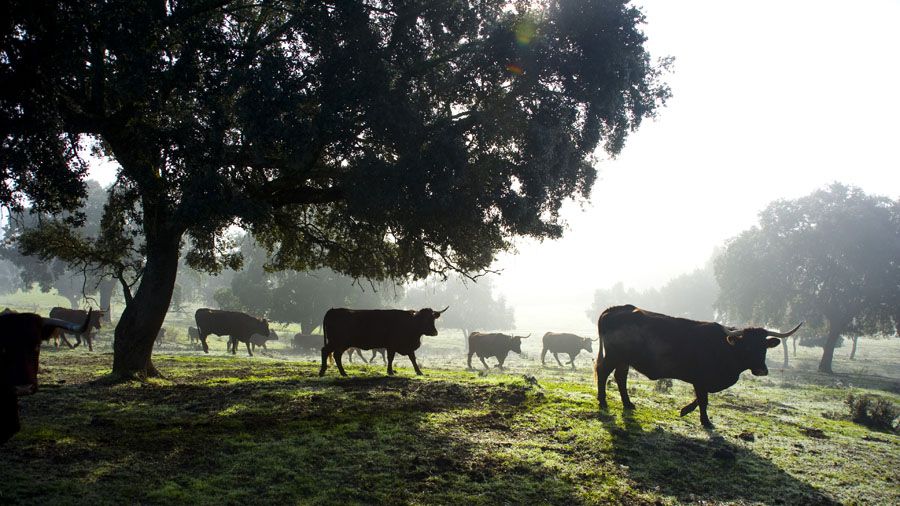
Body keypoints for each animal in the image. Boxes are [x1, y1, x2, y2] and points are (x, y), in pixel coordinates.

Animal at [318, 304, 448, 376]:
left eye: (433, 319)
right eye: (424, 319)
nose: (435, 332)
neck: (410, 324)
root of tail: (333, 310)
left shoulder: (406, 346)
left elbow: (412, 358)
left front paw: (419, 372)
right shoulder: (392, 345)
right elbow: (391, 358)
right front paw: (390, 371)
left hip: (337, 342)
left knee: (329, 353)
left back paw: (325, 372)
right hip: (339, 342)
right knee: (332, 353)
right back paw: (341, 373)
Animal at [596, 304, 800, 426]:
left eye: (763, 347)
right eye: (748, 346)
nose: (761, 370)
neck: (724, 348)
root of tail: (615, 309)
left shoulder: (703, 381)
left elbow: (702, 397)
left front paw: (686, 410)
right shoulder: (700, 379)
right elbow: (703, 399)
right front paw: (705, 421)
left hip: (624, 360)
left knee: (620, 377)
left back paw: (628, 404)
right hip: (614, 356)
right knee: (603, 373)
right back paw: (603, 401)